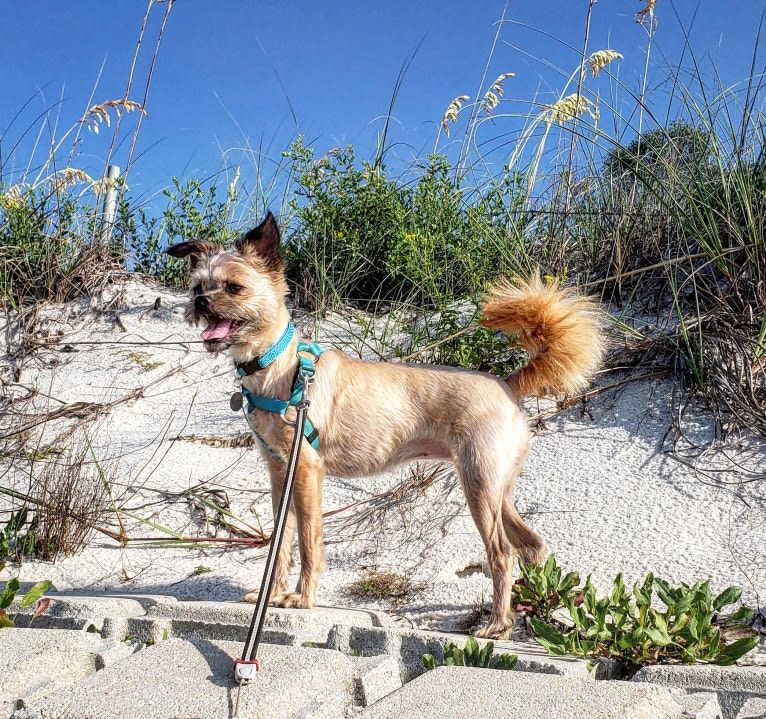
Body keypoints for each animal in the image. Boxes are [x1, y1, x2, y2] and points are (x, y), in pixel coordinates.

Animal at [168, 211, 608, 640]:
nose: (201, 302)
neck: (281, 366)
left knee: (502, 552)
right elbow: (282, 541)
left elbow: (309, 541)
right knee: (532, 545)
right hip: (497, 488)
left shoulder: (306, 471)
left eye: (233, 287)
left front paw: (302, 598)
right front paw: (272, 594)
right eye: (198, 287)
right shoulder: (281, 473)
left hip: (479, 486)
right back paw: (533, 609)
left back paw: (499, 623)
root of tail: (507, 382)